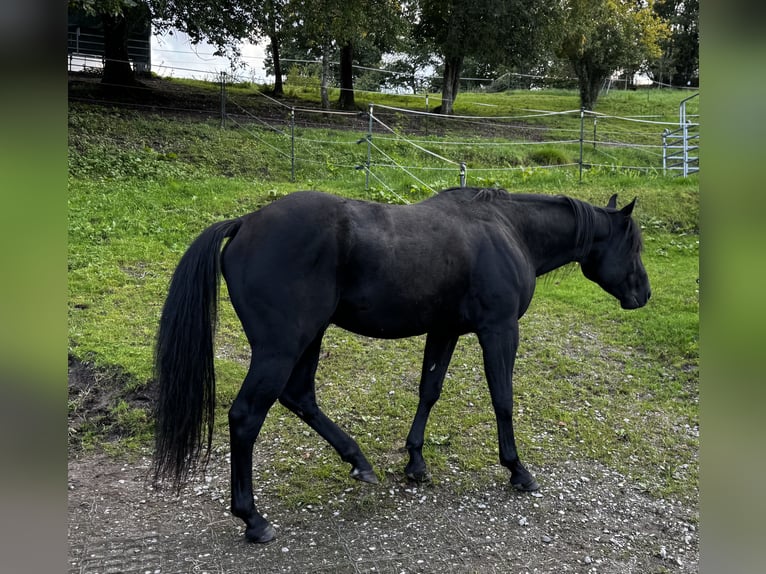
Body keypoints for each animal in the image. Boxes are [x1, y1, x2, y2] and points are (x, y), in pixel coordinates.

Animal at [152, 187, 650, 543]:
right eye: (634, 246)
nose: (643, 294)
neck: (509, 231)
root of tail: (244, 224)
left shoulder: (444, 330)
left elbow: (429, 390)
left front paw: (415, 461)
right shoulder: (499, 330)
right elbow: (503, 399)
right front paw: (516, 469)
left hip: (307, 339)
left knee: (300, 396)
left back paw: (357, 461)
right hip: (281, 348)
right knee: (246, 417)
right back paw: (253, 519)